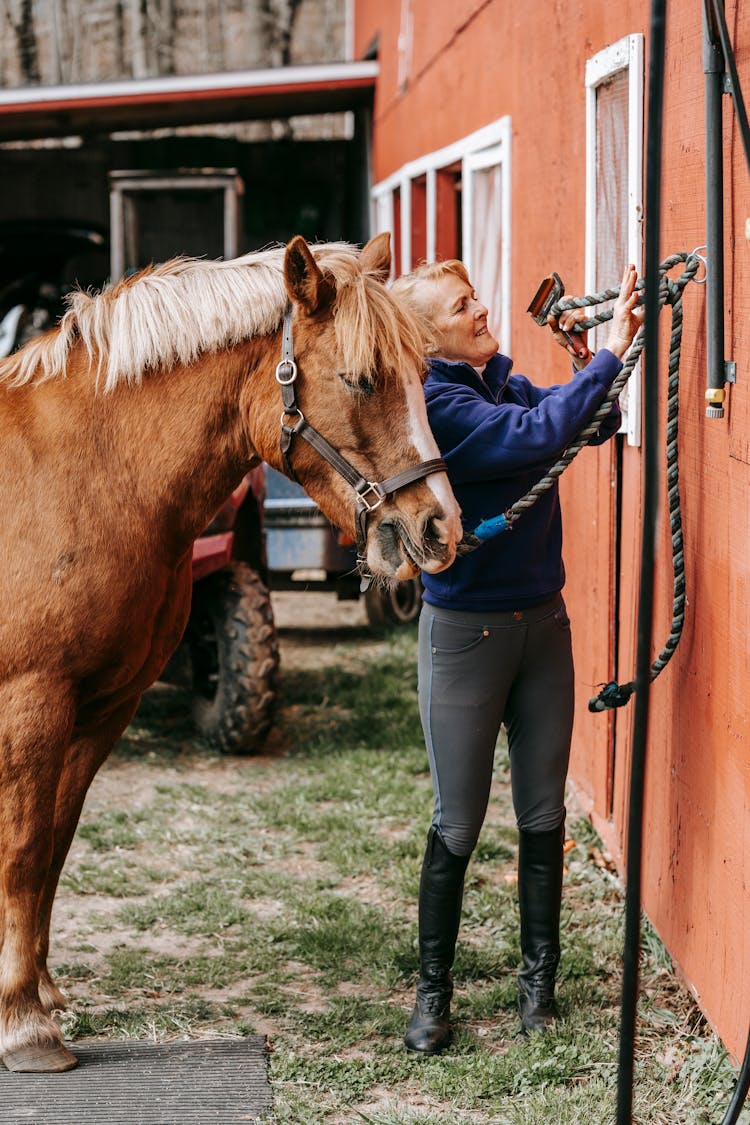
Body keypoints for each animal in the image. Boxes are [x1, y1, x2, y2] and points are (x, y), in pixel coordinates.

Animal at [0, 230, 461, 1071]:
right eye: (360, 377)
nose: (440, 526)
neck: (83, 473)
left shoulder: (100, 708)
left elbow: (53, 847)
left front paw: (41, 992)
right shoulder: (31, 700)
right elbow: (22, 852)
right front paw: (24, 1023)